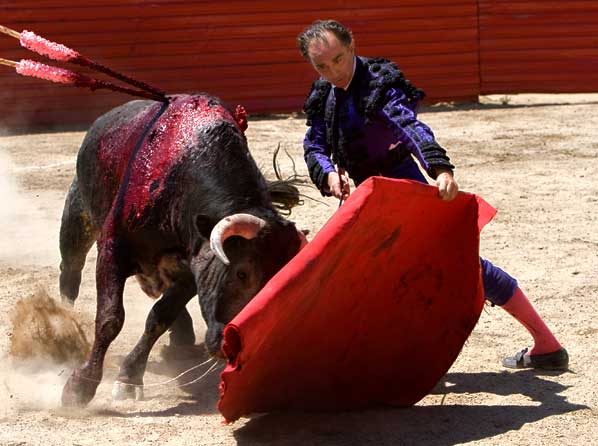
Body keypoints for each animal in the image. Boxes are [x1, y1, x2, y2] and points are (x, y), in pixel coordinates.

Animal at [59, 94, 308, 408]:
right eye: (241, 273)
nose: (230, 344)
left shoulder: (192, 272)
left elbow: (159, 316)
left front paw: (129, 377)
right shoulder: (112, 250)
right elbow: (109, 318)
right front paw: (80, 386)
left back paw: (182, 335)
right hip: (78, 216)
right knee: (70, 272)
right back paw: (61, 327)